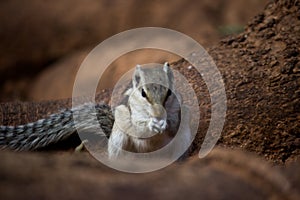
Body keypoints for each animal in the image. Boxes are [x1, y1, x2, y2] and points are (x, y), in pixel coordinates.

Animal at [0, 61, 190, 160]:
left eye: (169, 93)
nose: (158, 115)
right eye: (143, 93)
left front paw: (164, 123)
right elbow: (138, 127)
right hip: (118, 139)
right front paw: (152, 124)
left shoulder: (178, 109)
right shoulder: (130, 115)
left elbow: (175, 123)